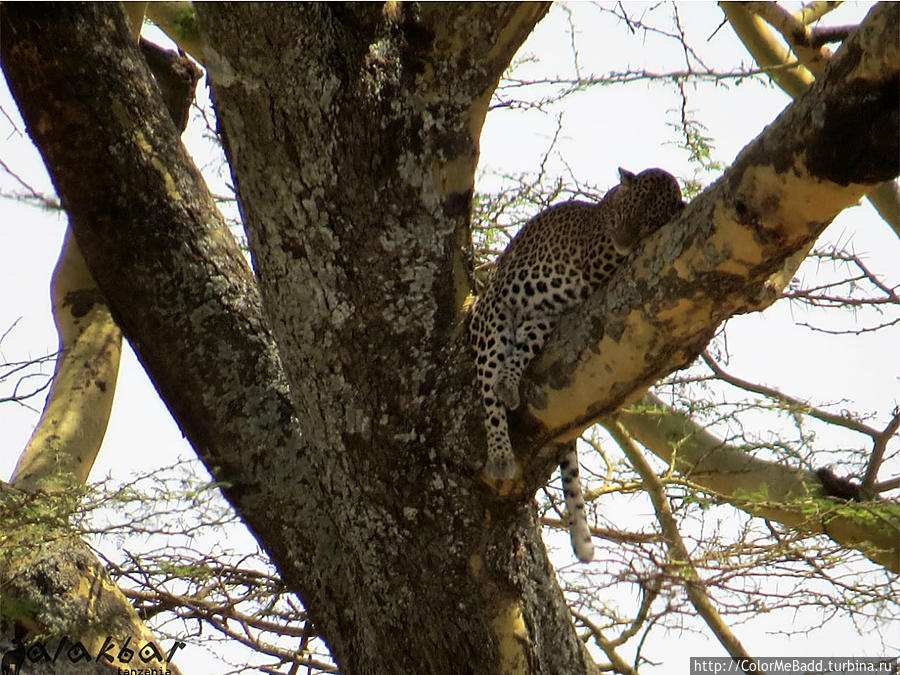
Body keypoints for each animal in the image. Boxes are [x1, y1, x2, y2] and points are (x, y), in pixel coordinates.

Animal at [468, 166, 684, 564]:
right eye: (625, 213)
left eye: (648, 223)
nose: (623, 241)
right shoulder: (596, 256)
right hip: (494, 311)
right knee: (489, 383)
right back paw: (501, 453)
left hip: (542, 318)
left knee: (516, 356)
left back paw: (509, 384)